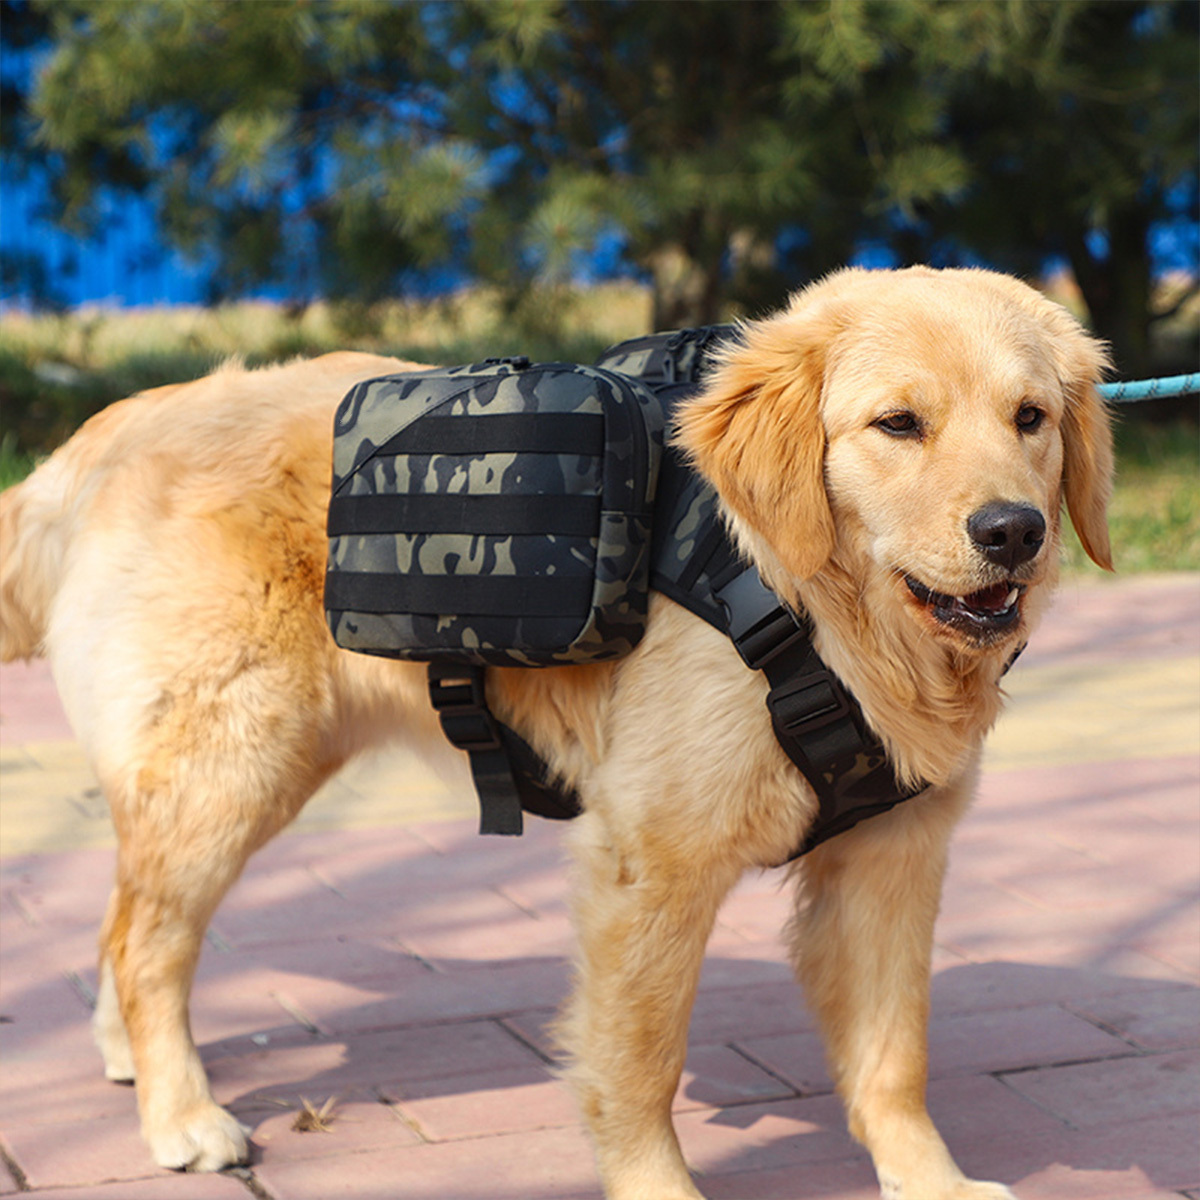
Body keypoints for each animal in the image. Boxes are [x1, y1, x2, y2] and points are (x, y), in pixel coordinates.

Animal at [0, 267, 1113, 1195]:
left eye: (1031, 418)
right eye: (898, 424)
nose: (1013, 530)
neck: (821, 611)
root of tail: (100, 442)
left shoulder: (891, 855)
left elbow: (894, 1060)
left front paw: (932, 1183)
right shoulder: (652, 865)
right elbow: (640, 1064)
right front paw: (657, 1189)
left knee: (127, 922)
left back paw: (129, 1063)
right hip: (233, 763)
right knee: (146, 941)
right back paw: (181, 1115)